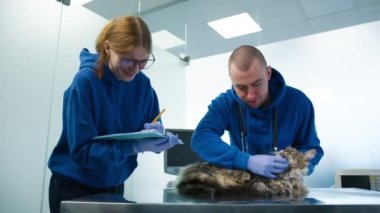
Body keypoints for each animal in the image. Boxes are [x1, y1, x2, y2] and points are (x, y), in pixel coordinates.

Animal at [174, 146, 314, 200]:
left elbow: (288, 190)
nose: (282, 150)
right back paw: (209, 191)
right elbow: (260, 186)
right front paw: (269, 191)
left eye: (292, 152)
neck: (285, 175)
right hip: (207, 176)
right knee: (186, 186)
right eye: (285, 149)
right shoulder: (254, 179)